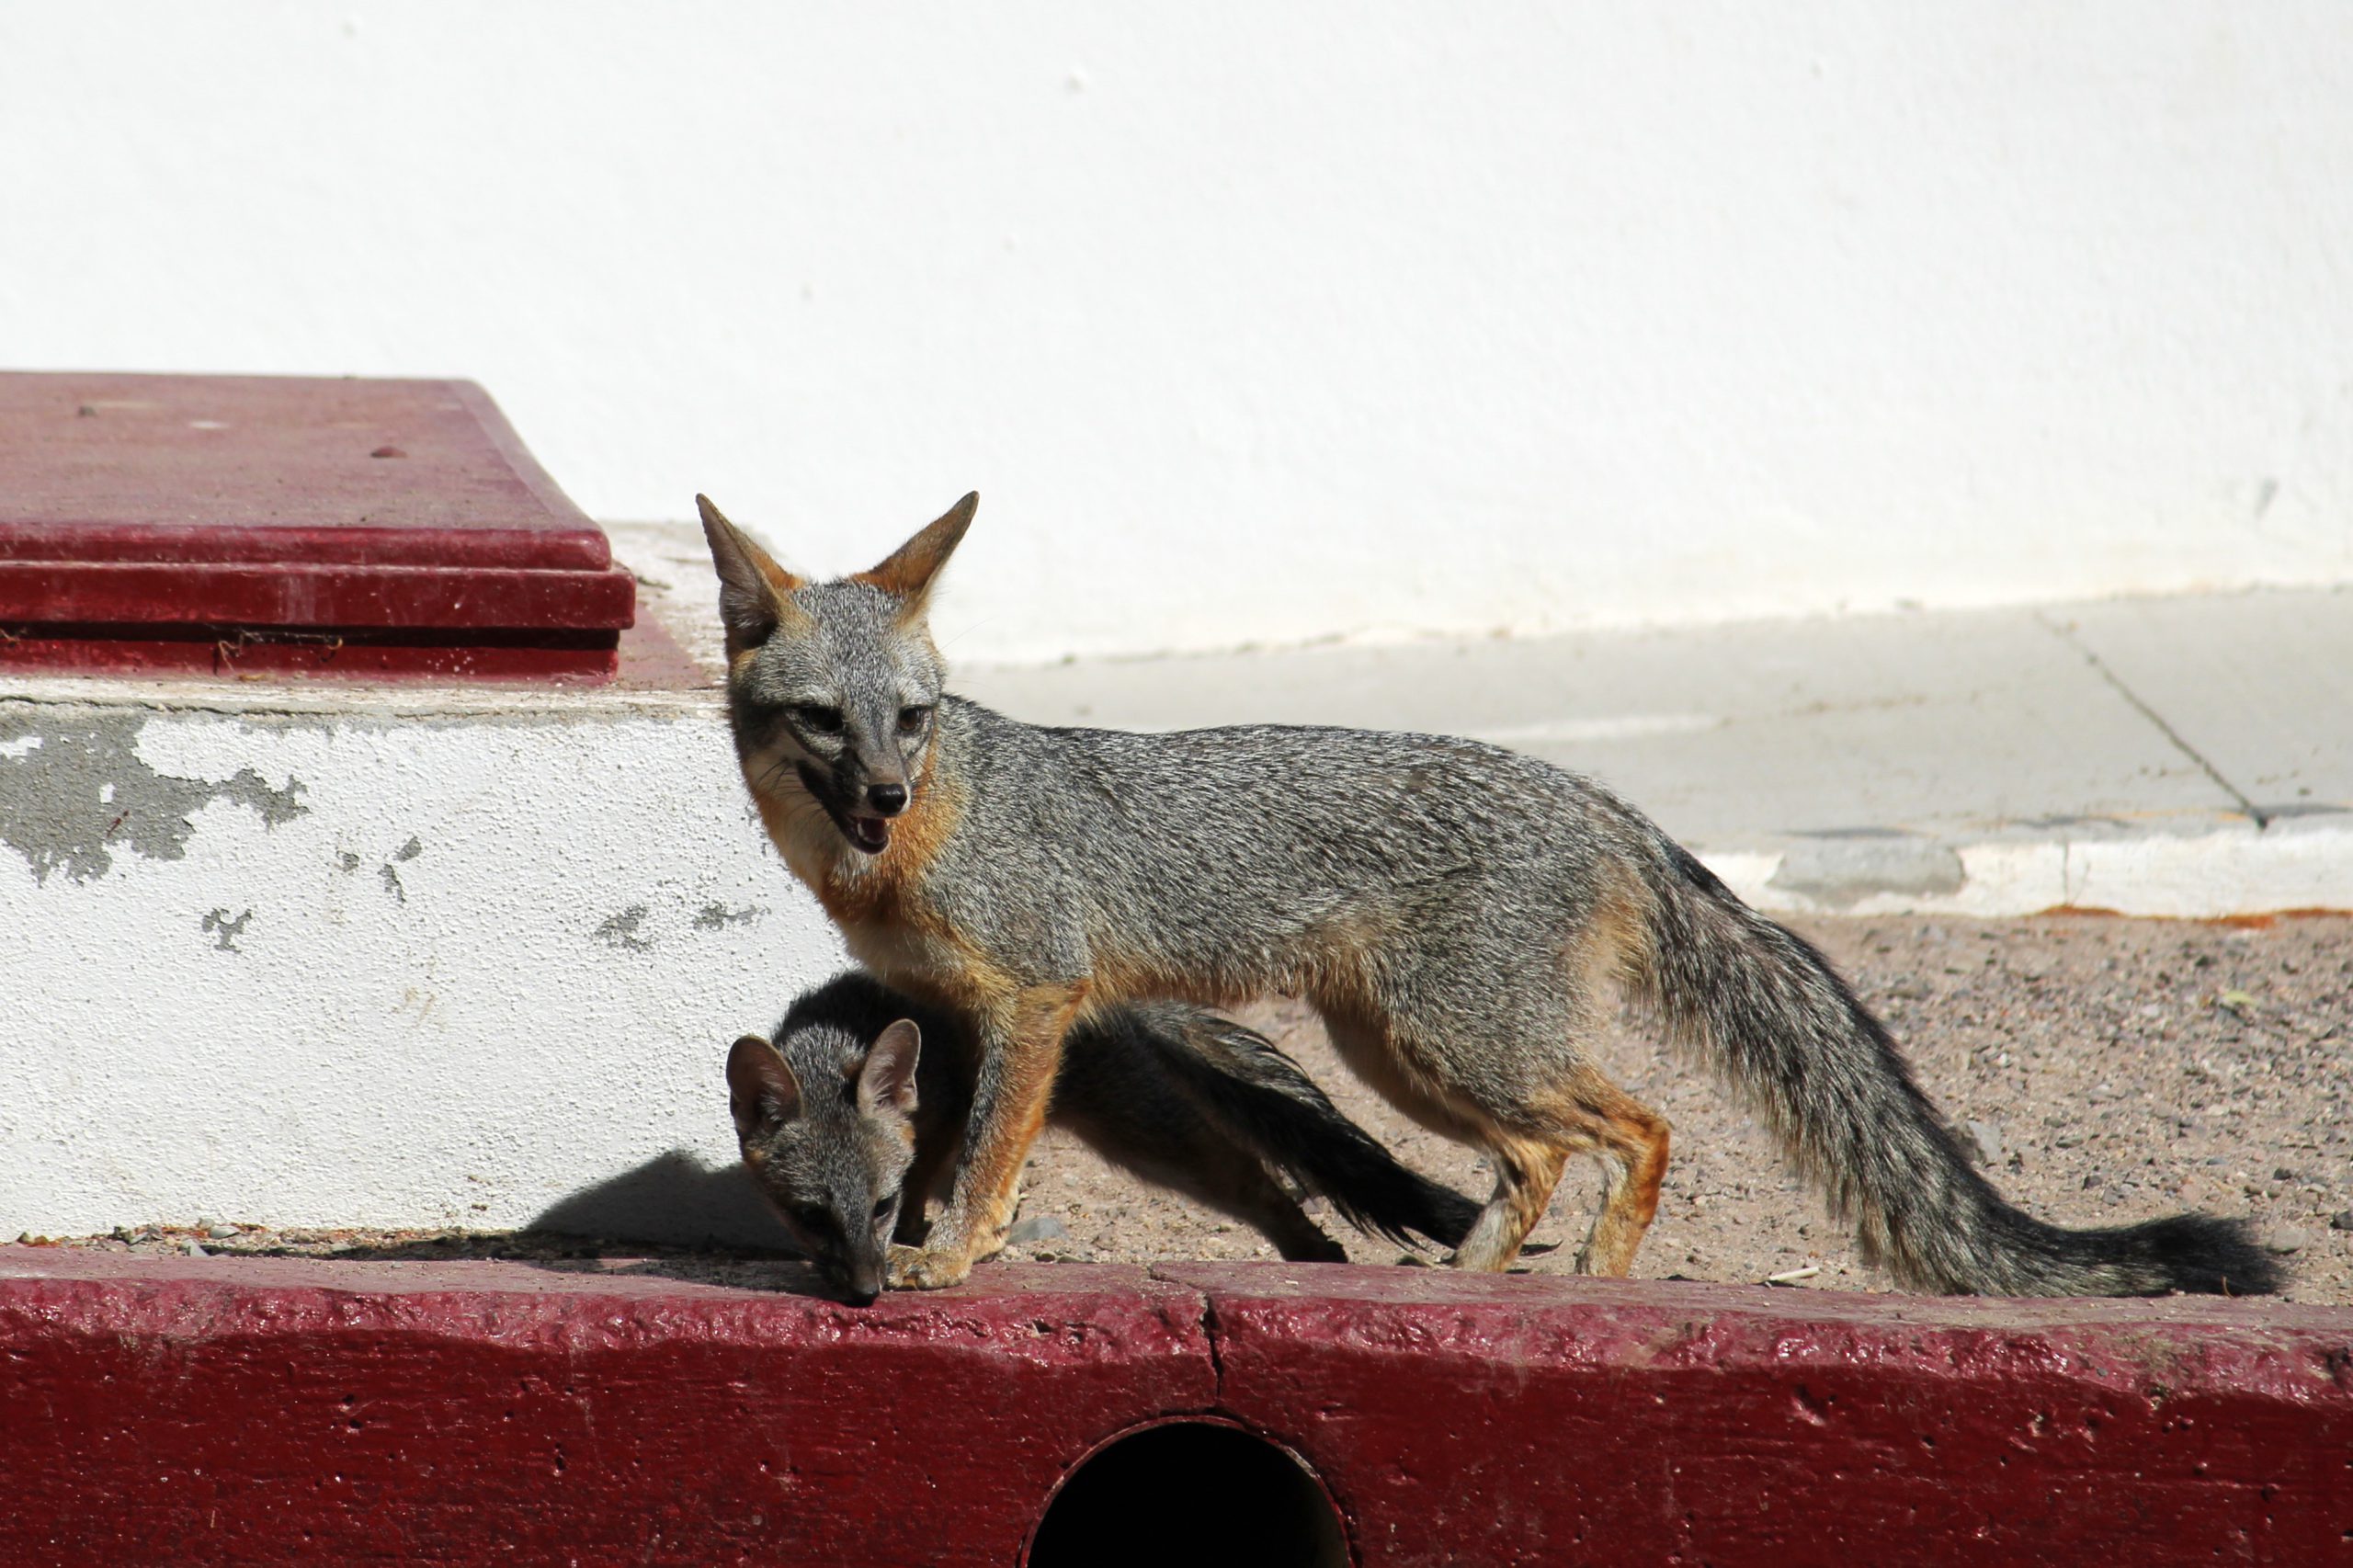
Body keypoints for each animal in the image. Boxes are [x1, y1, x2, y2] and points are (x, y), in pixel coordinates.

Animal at [727, 970, 1481, 1300]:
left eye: (877, 1206)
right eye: (810, 1215)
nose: (865, 1294)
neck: (843, 1024)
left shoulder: (950, 1117)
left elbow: (938, 1191)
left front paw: (922, 1248)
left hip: (1152, 1138)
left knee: (1265, 1190)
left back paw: (1318, 1256)